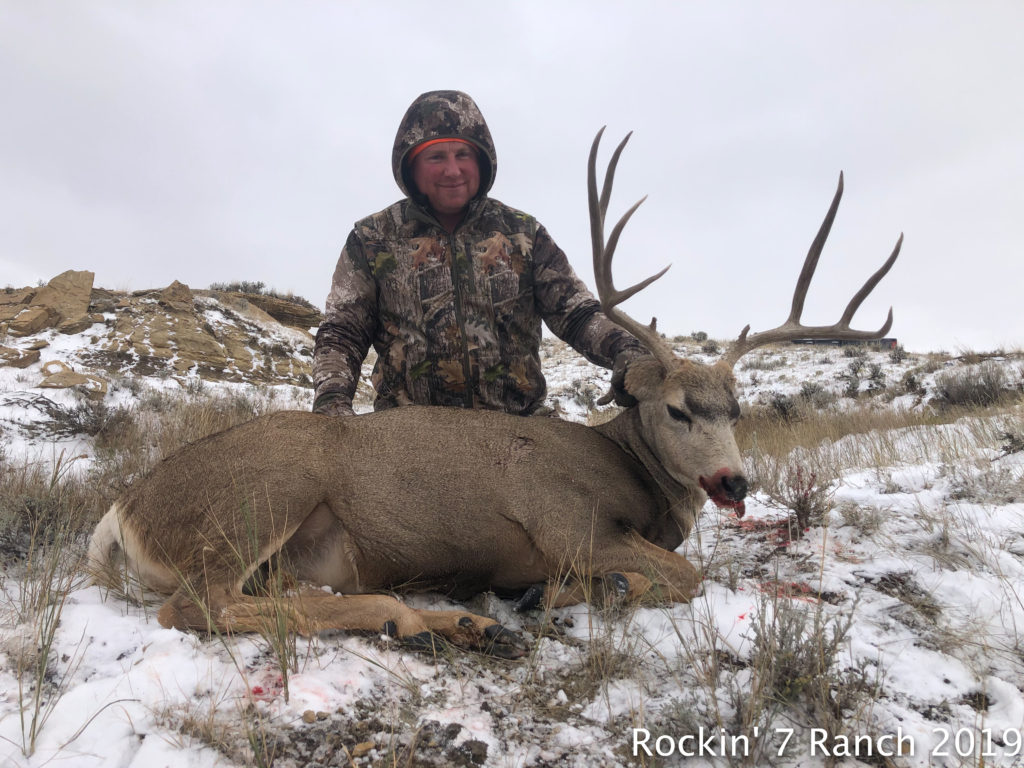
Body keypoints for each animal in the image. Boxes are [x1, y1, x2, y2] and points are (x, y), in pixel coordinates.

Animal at [90, 129, 905, 659]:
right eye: (677, 409)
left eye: (737, 410)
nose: (735, 480)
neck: (629, 471)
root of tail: (123, 510)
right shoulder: (568, 522)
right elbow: (682, 575)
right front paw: (569, 592)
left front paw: (545, 596)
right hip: (262, 495)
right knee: (196, 606)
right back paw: (426, 618)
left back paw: (457, 624)